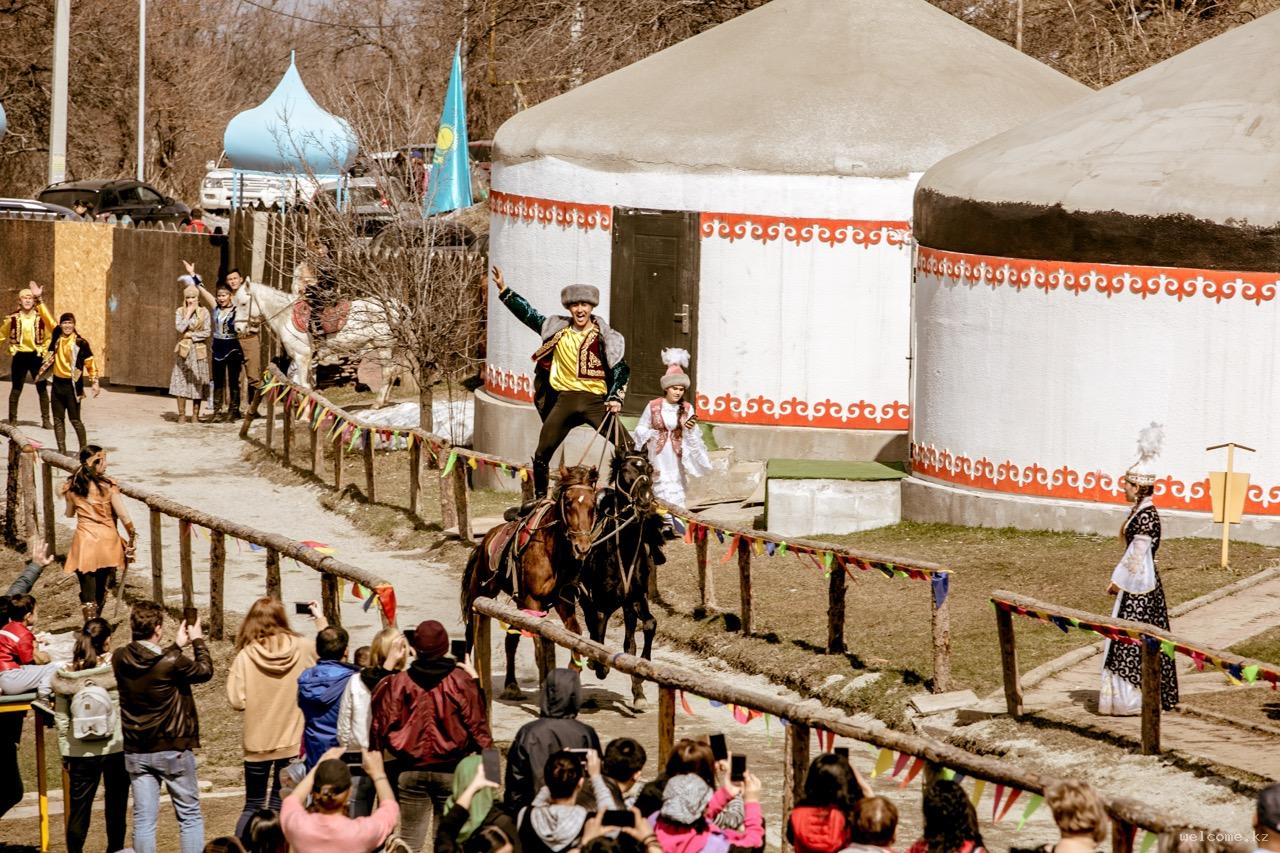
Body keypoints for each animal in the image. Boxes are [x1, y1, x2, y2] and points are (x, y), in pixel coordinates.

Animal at [244, 274, 404, 404]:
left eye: (243, 304)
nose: (240, 329)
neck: (286, 317)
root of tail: (396, 305)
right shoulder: (303, 359)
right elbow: (300, 381)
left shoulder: (302, 357)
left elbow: (303, 385)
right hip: (394, 347)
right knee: (395, 369)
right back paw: (385, 399)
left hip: (384, 346)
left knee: (387, 371)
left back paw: (378, 403)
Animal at [460, 466, 599, 696]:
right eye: (568, 502)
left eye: (593, 504)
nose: (582, 547)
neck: (552, 550)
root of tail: (485, 540)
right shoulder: (533, 601)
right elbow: (538, 642)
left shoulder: (563, 600)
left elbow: (574, 633)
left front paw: (574, 670)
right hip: (481, 592)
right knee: (471, 631)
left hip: (518, 603)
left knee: (510, 639)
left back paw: (511, 685)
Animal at [576, 440, 665, 706]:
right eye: (626, 472)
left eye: (649, 469)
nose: (645, 501)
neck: (621, 550)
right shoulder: (599, 602)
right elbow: (598, 631)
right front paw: (599, 664)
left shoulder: (636, 597)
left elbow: (647, 628)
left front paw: (640, 682)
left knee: (628, 639)